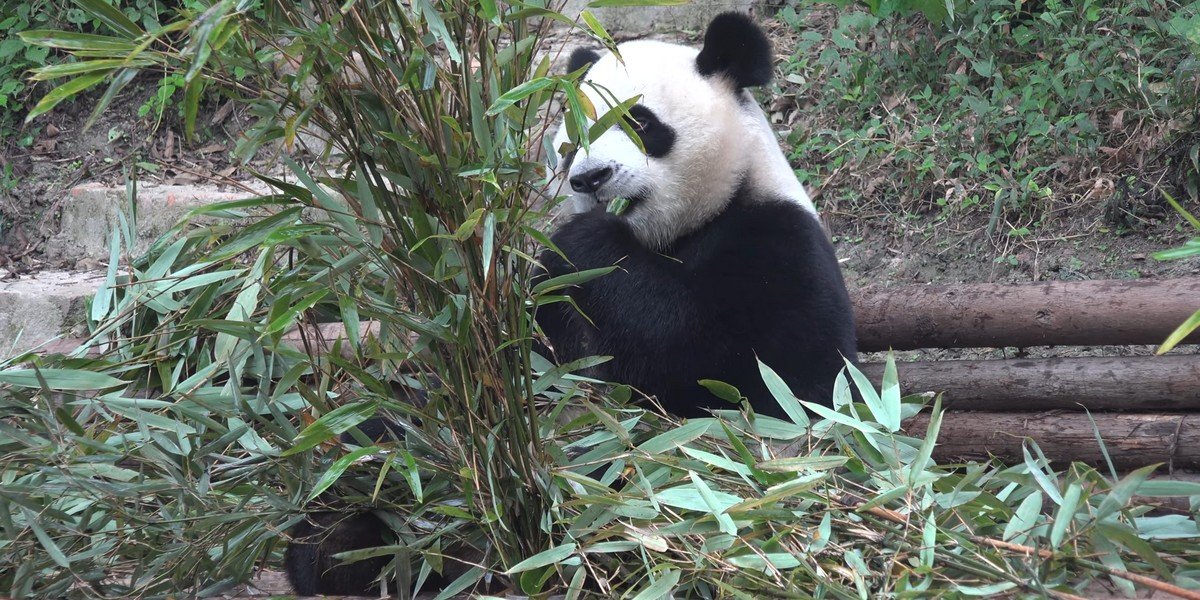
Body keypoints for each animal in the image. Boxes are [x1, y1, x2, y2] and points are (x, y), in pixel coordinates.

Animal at [540, 11, 859, 420]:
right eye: (573, 140)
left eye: (639, 122)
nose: (590, 178)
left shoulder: (783, 241)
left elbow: (773, 375)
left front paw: (585, 240)